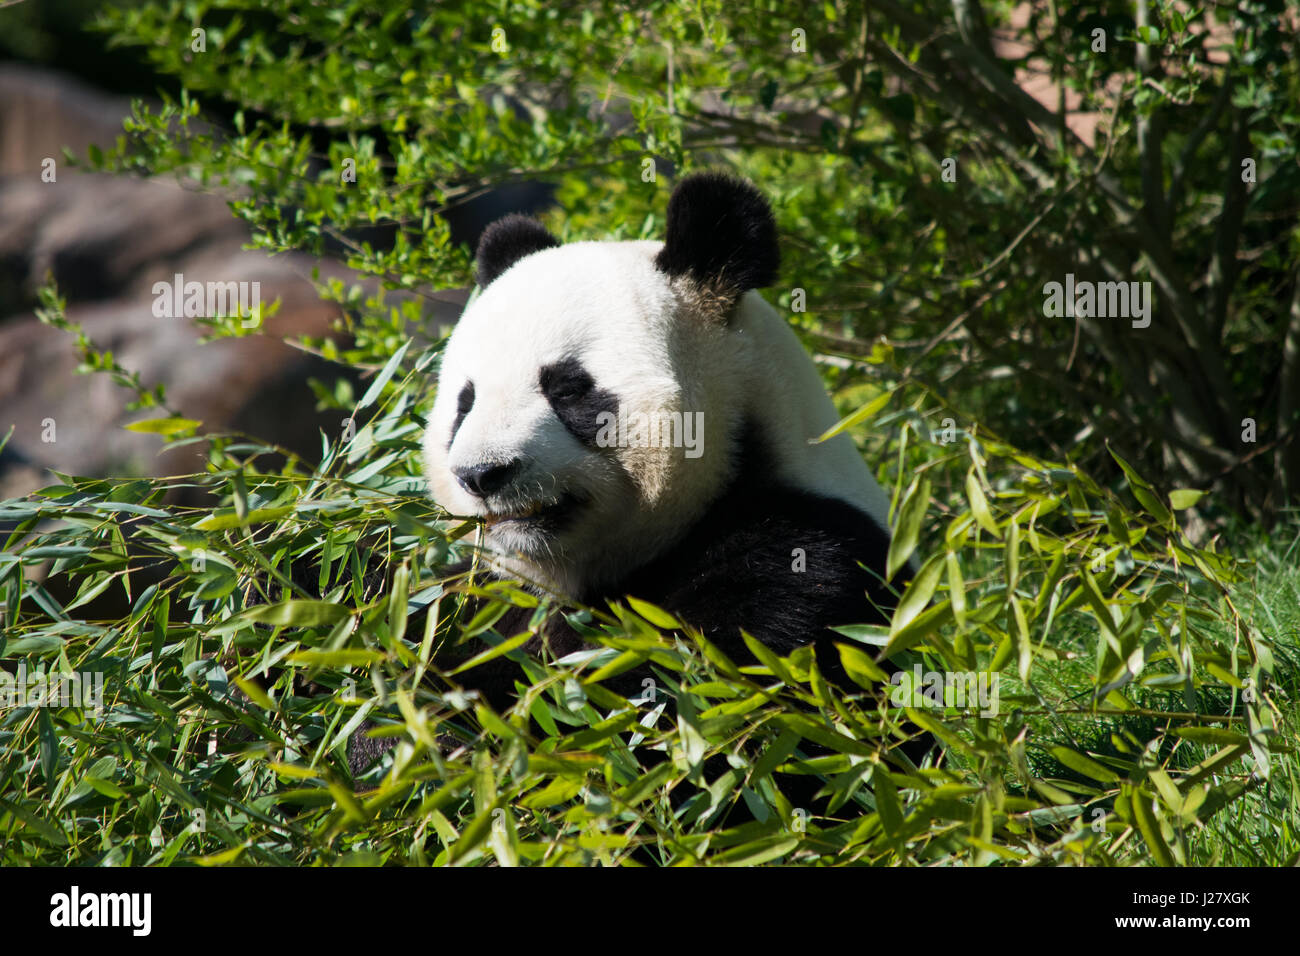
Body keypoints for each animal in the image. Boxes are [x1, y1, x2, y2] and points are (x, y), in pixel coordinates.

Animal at [349, 172, 906, 773]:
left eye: (568, 388)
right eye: (465, 402)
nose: (482, 474)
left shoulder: (801, 561)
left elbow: (669, 724)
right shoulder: (485, 595)